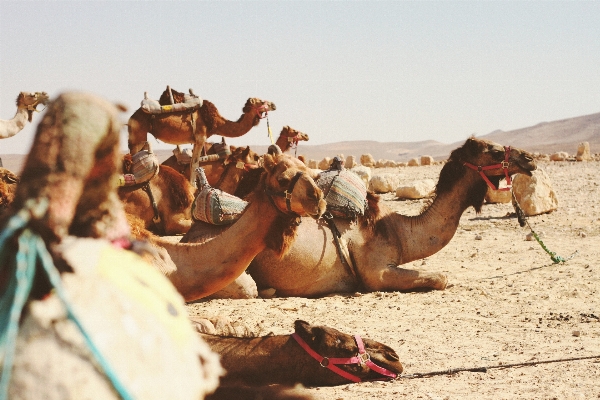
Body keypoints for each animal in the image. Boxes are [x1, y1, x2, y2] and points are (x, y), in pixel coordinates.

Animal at [129, 86, 276, 185]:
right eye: (261, 101)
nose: (273, 104)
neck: (216, 123)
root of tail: (132, 117)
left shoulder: (195, 141)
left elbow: (192, 164)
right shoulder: (201, 137)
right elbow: (194, 164)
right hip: (139, 135)